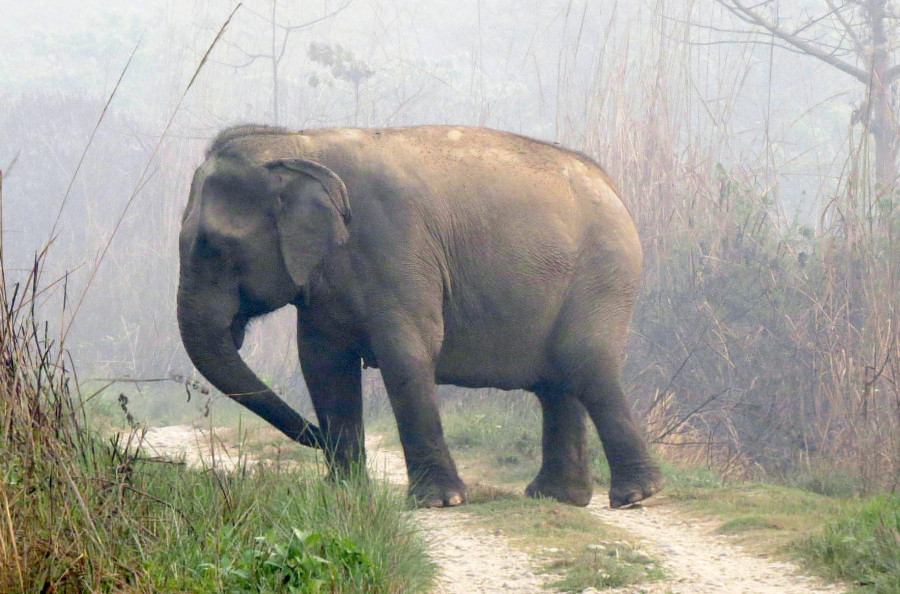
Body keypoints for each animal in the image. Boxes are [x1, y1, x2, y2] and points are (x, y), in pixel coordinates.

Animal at [176, 122, 664, 506]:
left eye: (212, 247)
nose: (314, 437)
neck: (300, 142)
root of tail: (614, 188)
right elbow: (323, 366)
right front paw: (345, 495)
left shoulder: (397, 247)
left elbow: (407, 354)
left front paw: (440, 502)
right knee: (558, 383)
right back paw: (557, 497)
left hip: (603, 276)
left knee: (586, 365)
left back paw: (636, 495)